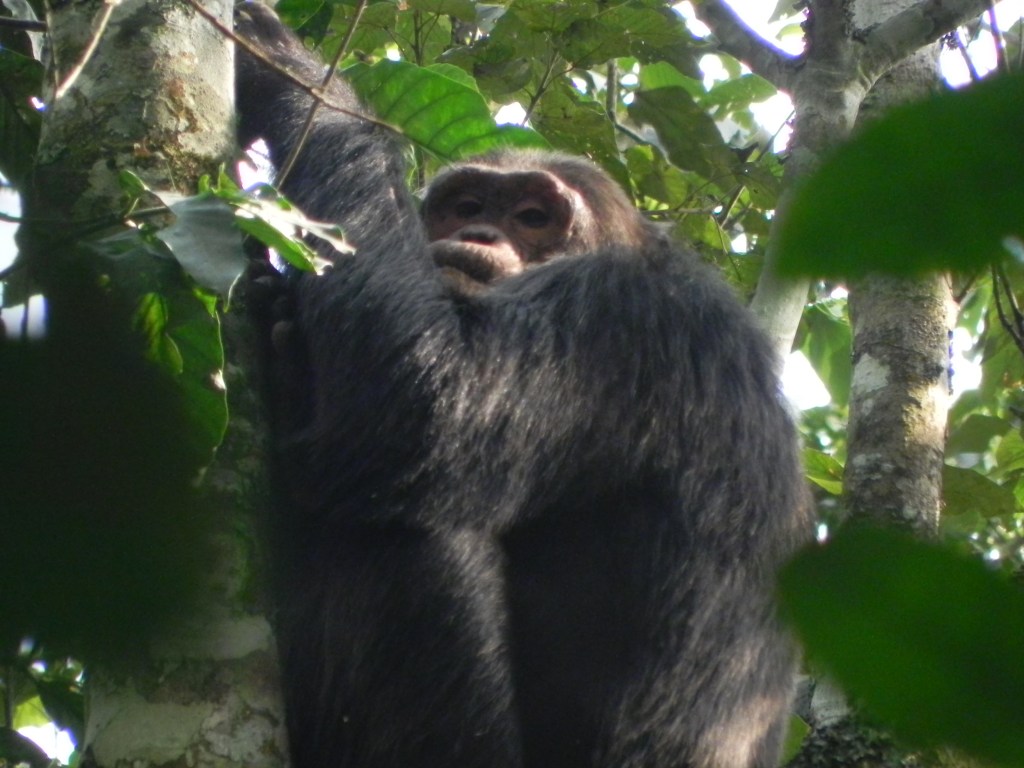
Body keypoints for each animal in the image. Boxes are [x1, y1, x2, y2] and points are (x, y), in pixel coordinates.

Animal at [235, 5, 811, 768]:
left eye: (533, 218)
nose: (479, 232)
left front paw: (292, 73)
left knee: (408, 527)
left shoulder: (616, 321)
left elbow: (425, 401)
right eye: (467, 205)